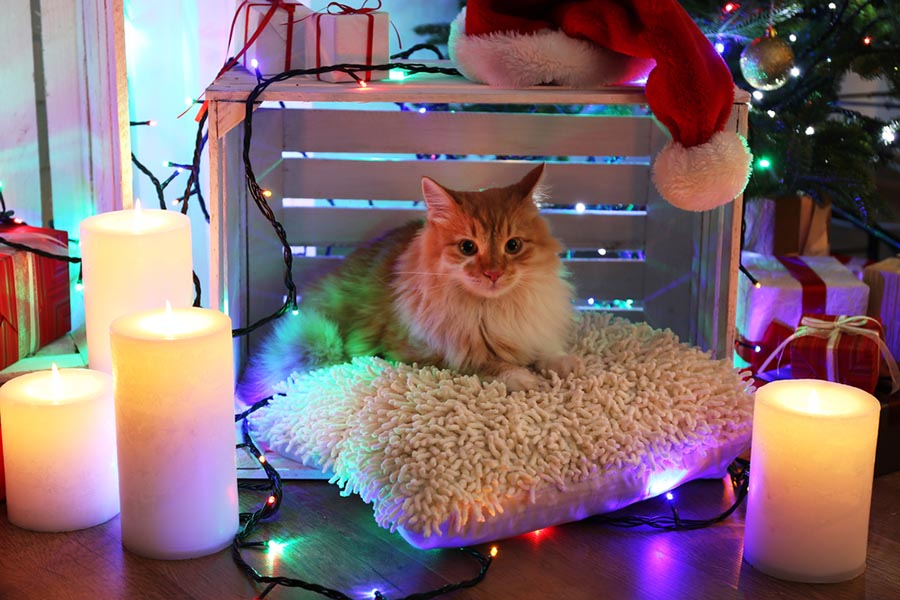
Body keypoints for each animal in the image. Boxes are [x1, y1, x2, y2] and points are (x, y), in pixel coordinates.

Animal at [236, 163, 580, 404]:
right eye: (468, 247)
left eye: (513, 246)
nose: (493, 273)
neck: (492, 309)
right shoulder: (430, 356)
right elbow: (489, 364)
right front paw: (525, 378)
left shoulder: (533, 327)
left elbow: (548, 350)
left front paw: (564, 364)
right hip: (323, 341)